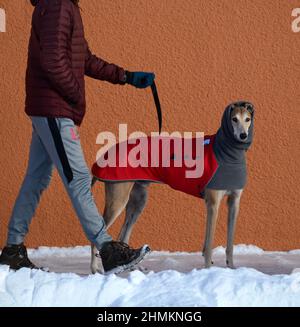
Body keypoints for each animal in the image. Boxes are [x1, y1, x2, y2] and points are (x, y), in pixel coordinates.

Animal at [90, 102, 254, 274]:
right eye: (234, 119)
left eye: (247, 119)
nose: (243, 135)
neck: (226, 151)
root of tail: (105, 155)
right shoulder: (212, 204)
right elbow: (209, 244)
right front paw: (208, 270)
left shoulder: (234, 203)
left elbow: (230, 242)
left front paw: (232, 267)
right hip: (118, 200)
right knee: (97, 234)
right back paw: (94, 269)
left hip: (138, 201)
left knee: (123, 234)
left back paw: (132, 266)